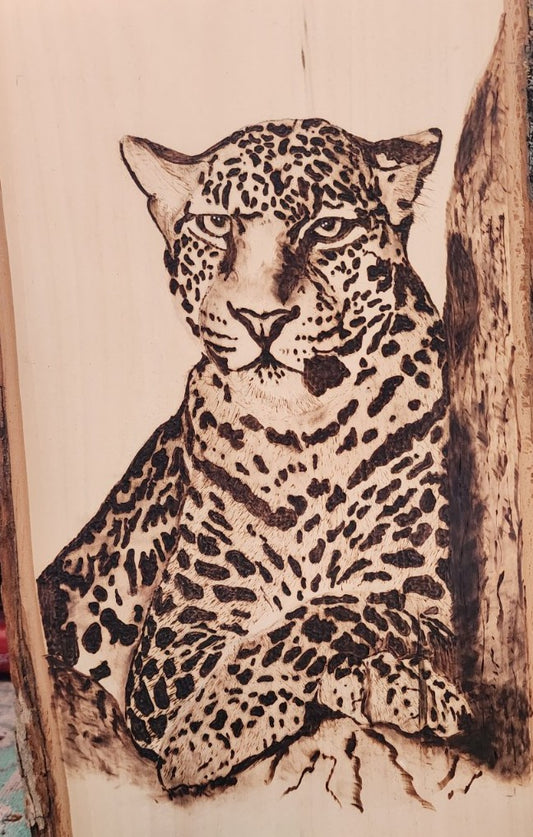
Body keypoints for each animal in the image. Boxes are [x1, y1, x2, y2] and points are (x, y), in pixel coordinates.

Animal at [38, 117, 470, 798]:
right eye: (218, 225)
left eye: (326, 227)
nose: (260, 318)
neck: (306, 437)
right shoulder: (173, 645)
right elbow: (281, 636)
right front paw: (202, 737)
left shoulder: (417, 587)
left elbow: (338, 611)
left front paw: (405, 685)